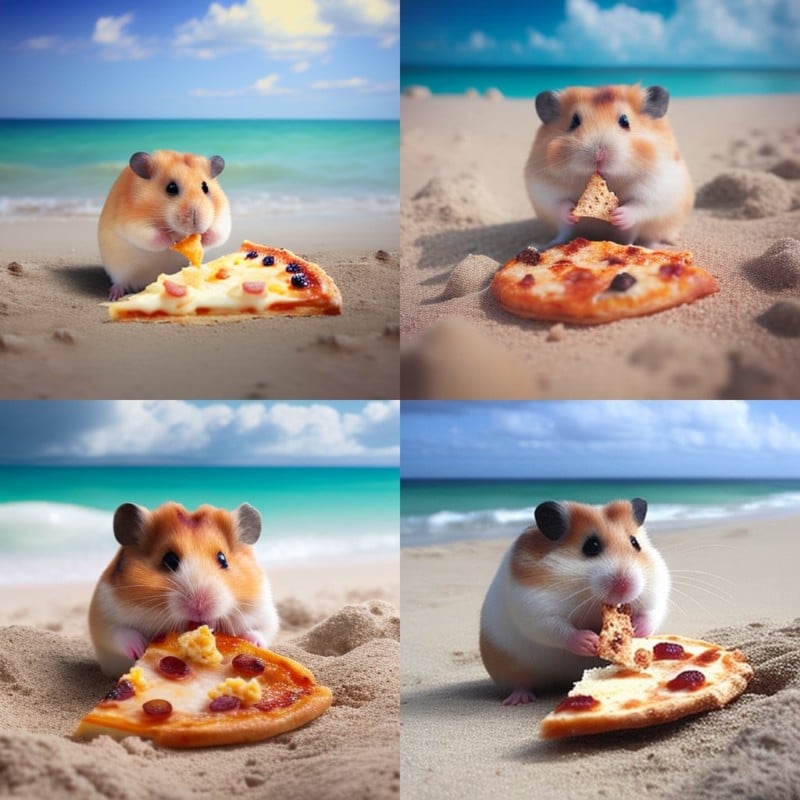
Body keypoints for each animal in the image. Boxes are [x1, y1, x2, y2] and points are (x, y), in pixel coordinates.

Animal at [89, 501, 279, 677]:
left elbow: (262, 630)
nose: (199, 607)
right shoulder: (104, 616)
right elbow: (121, 633)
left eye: (223, 559)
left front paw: (253, 643)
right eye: (169, 560)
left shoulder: (265, 612)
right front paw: (140, 649)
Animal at [98, 150, 232, 300]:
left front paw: (202, 236)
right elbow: (155, 238)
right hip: (119, 271)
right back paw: (114, 296)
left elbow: (217, 234)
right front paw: (173, 240)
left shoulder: (223, 219)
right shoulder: (135, 224)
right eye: (171, 188)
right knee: (119, 283)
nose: (195, 222)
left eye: (205, 187)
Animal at [479, 498, 669, 705]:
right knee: (521, 683)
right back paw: (518, 699)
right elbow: (558, 629)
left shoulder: (656, 594)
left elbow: (650, 614)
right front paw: (590, 642)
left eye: (635, 543)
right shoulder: (534, 608)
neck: (589, 598)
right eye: (591, 546)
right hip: (512, 669)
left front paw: (637, 631)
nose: (625, 587)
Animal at [524, 85, 693, 249]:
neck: (609, 178)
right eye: (574, 122)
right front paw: (572, 212)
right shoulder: (543, 187)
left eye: (625, 121)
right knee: (563, 234)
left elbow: (639, 205)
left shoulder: (658, 187)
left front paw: (618, 215)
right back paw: (540, 245)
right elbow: (558, 203)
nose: (599, 155)